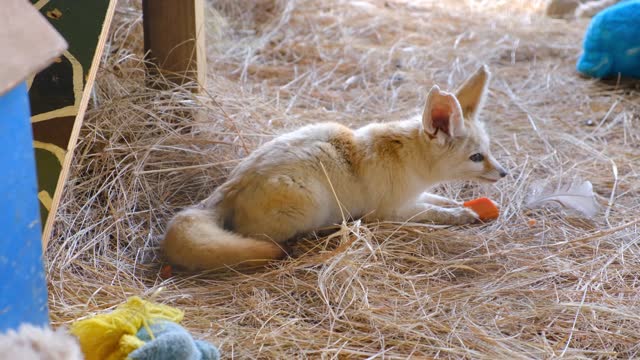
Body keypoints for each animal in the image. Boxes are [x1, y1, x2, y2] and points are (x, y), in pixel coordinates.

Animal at [162, 67, 508, 270]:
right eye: (477, 157)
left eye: (488, 151)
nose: (504, 174)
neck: (408, 157)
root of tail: (230, 187)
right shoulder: (390, 212)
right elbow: (435, 213)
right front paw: (461, 215)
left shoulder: (414, 196)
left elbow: (440, 200)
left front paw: (461, 205)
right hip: (310, 204)